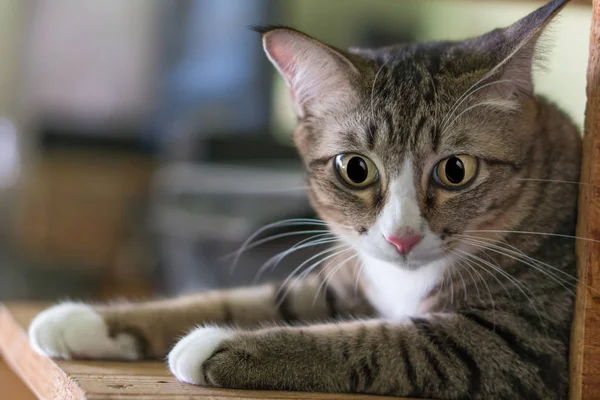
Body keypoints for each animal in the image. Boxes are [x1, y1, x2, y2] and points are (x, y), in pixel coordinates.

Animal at [28, 1, 580, 398]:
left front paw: (219, 346)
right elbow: (242, 298)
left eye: (456, 170)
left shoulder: (521, 341)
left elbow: (384, 342)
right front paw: (86, 320)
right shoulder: (345, 281)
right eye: (354, 168)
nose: (401, 238)